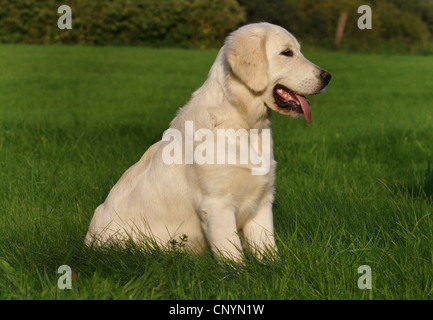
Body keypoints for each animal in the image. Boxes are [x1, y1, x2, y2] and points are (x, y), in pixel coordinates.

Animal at [87, 23, 330, 262]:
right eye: (287, 53)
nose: (327, 76)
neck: (244, 124)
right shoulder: (216, 205)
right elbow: (233, 255)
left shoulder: (261, 202)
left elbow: (267, 250)